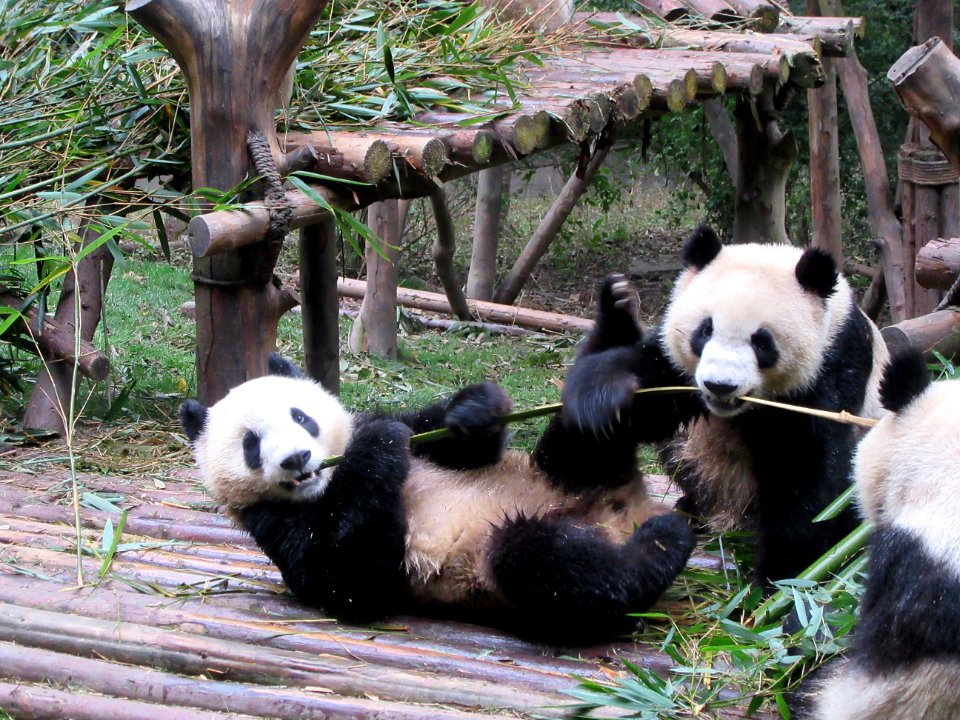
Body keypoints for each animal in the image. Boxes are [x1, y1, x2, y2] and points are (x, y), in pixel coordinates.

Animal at [180, 352, 692, 644]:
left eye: (301, 417)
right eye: (251, 445)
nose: (298, 458)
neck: (328, 485)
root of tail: (624, 508)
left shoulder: (412, 436)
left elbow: (444, 438)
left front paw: (474, 411)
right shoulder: (271, 521)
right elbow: (348, 576)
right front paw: (377, 448)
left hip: (564, 472)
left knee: (585, 429)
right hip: (508, 565)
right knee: (543, 561)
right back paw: (663, 542)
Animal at [568, 228, 888, 584]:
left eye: (762, 342)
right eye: (705, 330)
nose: (720, 386)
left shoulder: (832, 365)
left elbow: (807, 471)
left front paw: (780, 578)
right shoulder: (675, 365)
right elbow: (649, 402)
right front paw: (601, 401)